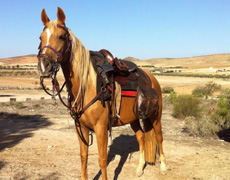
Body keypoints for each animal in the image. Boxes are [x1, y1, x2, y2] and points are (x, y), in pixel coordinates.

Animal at [38, 6, 167, 179]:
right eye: (40, 38)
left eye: (61, 36)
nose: (44, 65)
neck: (87, 87)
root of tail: (151, 77)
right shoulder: (81, 128)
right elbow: (84, 158)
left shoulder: (101, 128)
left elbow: (102, 160)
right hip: (134, 117)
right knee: (141, 137)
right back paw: (140, 168)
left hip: (155, 116)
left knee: (159, 137)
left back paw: (163, 166)